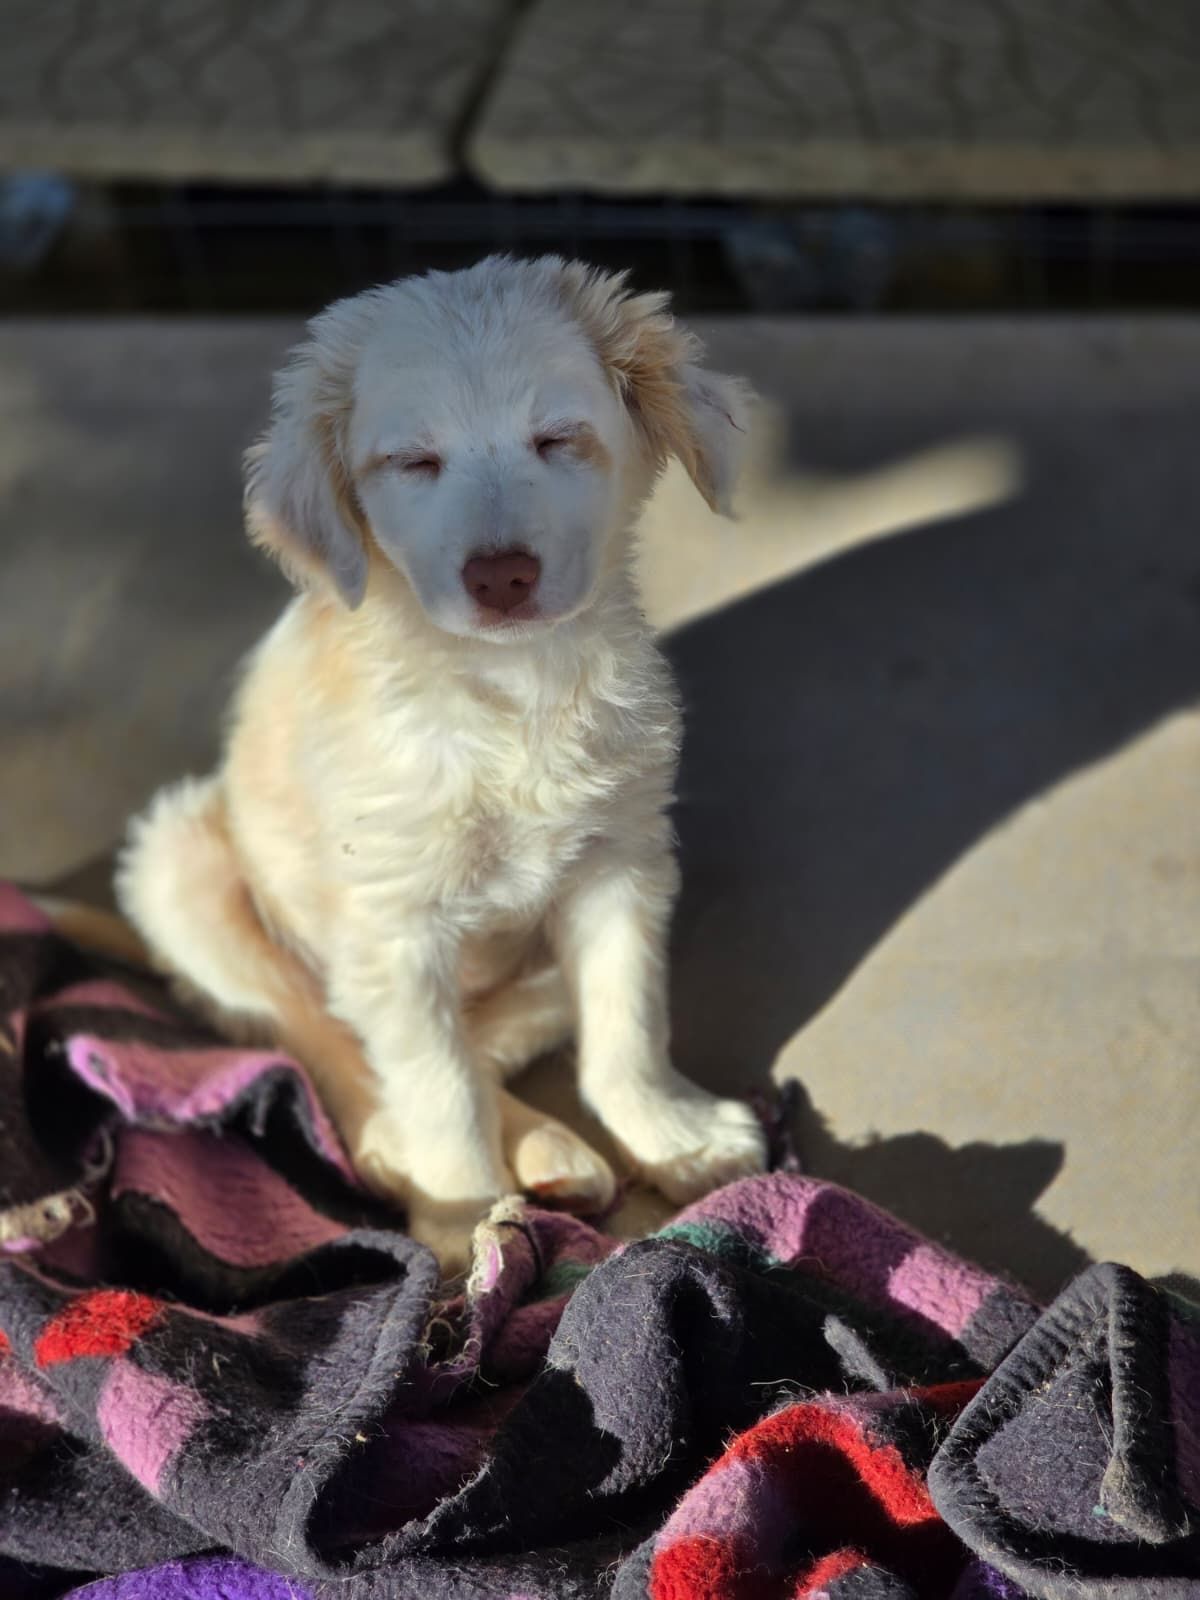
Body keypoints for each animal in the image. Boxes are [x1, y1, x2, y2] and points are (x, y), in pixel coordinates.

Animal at [117, 255, 767, 1272]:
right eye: (414, 463)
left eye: (557, 439)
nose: (501, 577)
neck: (512, 688)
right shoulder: (392, 929)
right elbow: (437, 1085)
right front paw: (462, 1220)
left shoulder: (622, 869)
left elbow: (625, 1023)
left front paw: (674, 1135)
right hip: (181, 861)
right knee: (326, 1041)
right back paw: (421, 1157)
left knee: (491, 1028)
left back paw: (549, 1152)